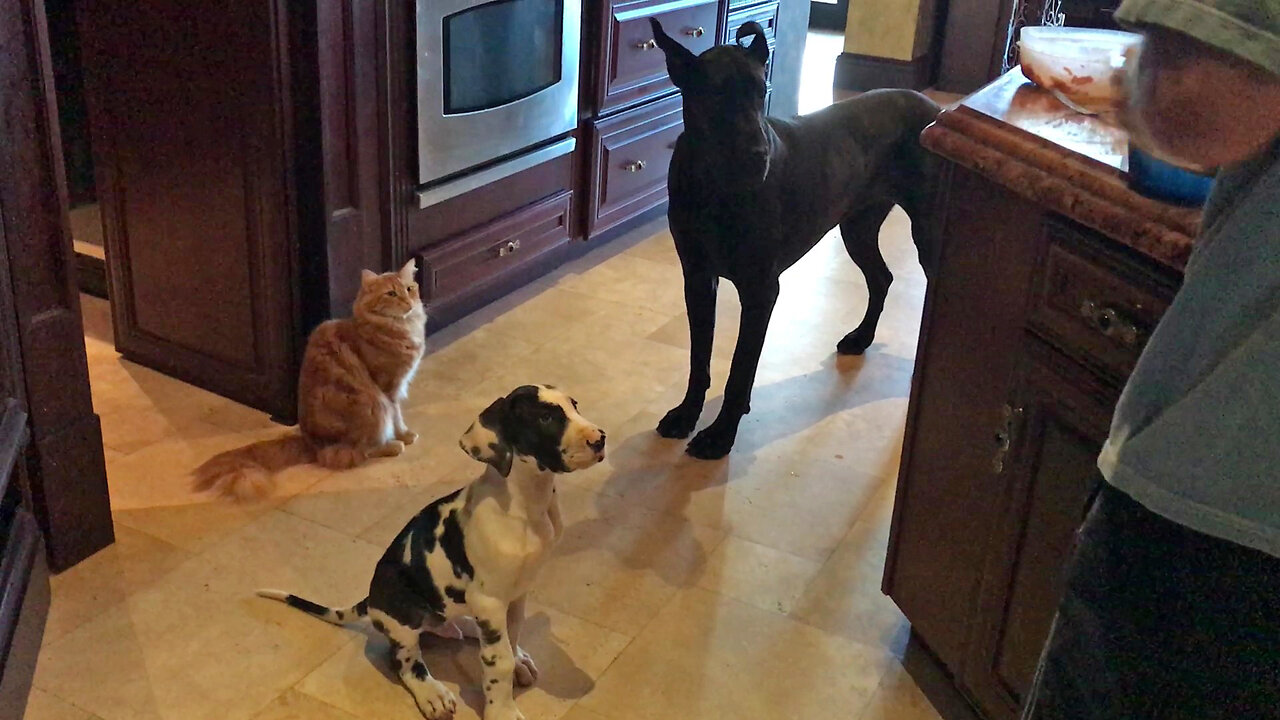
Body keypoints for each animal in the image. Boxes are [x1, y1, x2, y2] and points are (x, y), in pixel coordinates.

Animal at [192, 257, 424, 499]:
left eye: (409, 289)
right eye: (391, 294)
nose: (408, 302)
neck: (399, 327)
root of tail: (309, 443)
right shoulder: (389, 387)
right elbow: (397, 417)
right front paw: (405, 435)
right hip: (374, 405)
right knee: (360, 450)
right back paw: (393, 446)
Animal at [257, 384, 606, 717]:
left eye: (574, 406)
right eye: (545, 418)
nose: (600, 439)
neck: (526, 506)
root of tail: (371, 599)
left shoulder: (517, 591)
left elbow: (513, 634)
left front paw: (517, 659)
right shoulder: (489, 599)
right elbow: (498, 660)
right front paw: (502, 711)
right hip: (402, 612)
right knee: (404, 661)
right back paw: (432, 693)